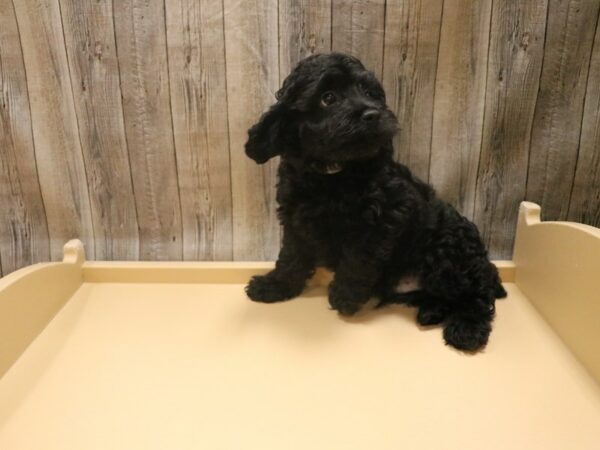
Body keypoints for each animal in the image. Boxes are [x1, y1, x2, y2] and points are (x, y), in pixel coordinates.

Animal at [244, 53, 506, 352]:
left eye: (370, 93)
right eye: (328, 97)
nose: (373, 114)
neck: (333, 173)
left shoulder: (384, 219)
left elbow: (358, 260)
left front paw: (344, 297)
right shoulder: (295, 220)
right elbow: (290, 257)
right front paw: (273, 286)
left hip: (449, 250)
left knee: (477, 293)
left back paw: (467, 329)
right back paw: (431, 312)